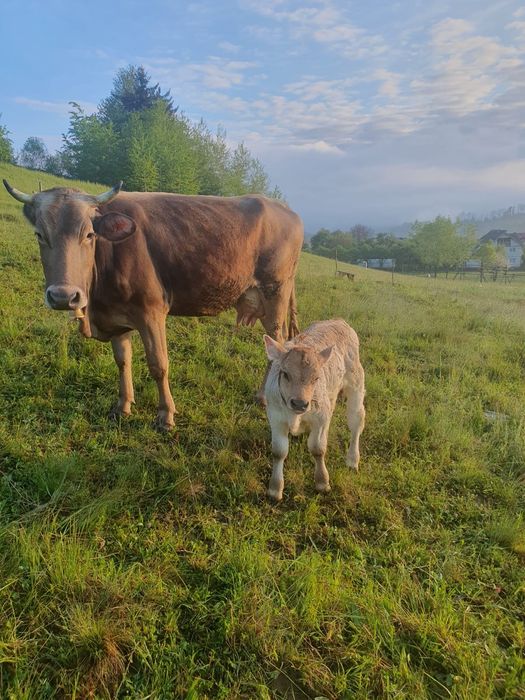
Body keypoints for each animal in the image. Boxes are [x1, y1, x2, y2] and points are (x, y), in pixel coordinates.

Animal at [3, 180, 303, 429]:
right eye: (39, 234)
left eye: (89, 235)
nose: (64, 296)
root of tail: (286, 209)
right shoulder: (116, 314)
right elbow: (122, 360)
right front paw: (123, 405)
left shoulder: (151, 311)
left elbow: (159, 365)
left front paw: (165, 415)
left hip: (275, 293)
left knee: (278, 344)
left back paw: (264, 397)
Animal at [263, 319, 365, 501]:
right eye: (285, 374)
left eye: (316, 378)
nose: (299, 403)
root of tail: (339, 320)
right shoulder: (275, 417)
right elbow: (279, 451)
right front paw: (275, 489)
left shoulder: (321, 418)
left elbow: (318, 448)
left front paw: (322, 482)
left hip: (356, 383)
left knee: (356, 423)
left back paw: (353, 460)